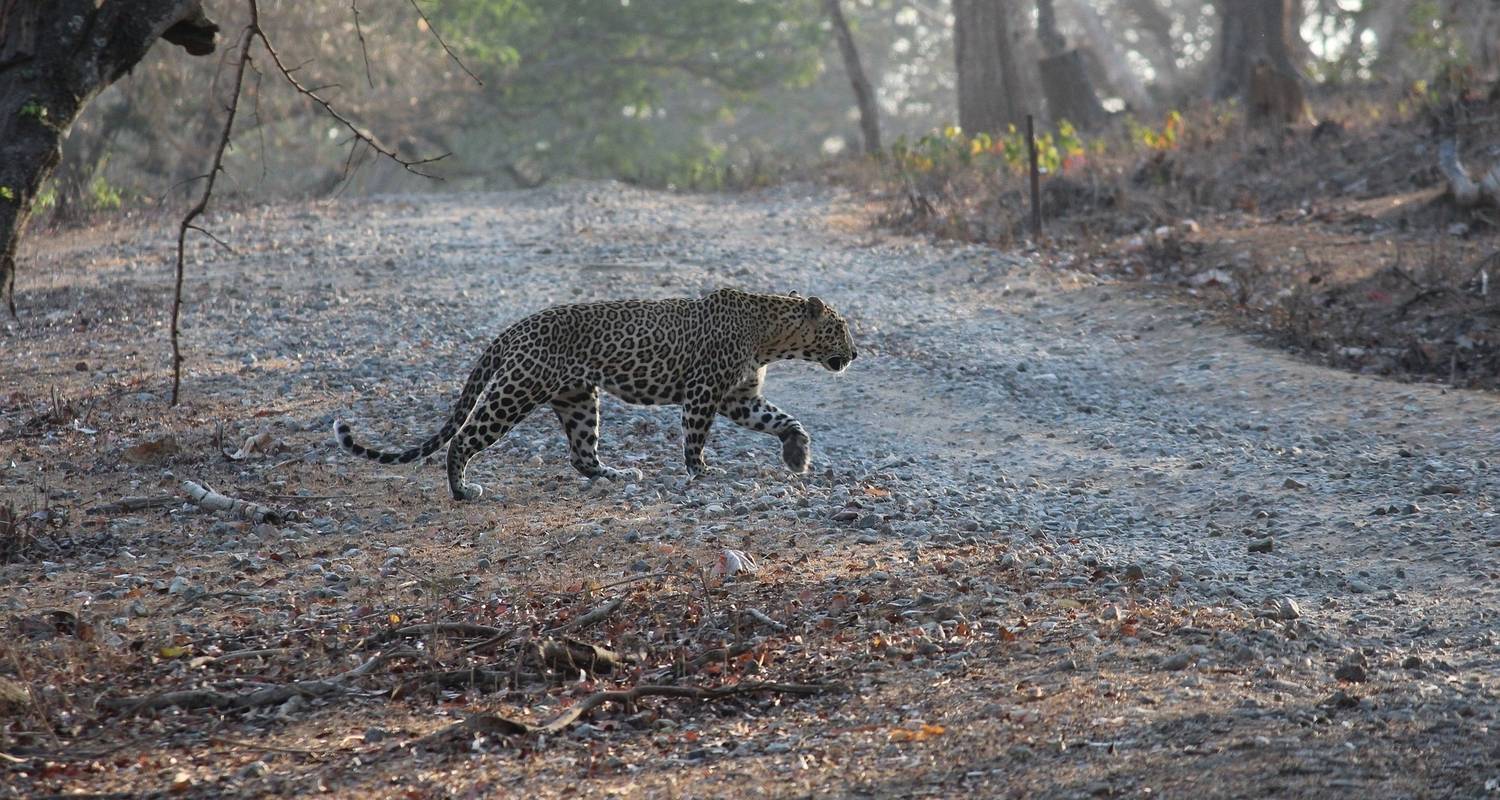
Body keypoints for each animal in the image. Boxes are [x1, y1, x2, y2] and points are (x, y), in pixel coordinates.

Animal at [336, 286, 864, 498]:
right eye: (840, 328)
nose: (857, 353)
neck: (772, 336)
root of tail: (515, 328)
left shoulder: (739, 397)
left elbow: (783, 419)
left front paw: (797, 455)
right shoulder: (704, 392)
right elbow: (695, 437)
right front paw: (700, 473)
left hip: (577, 399)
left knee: (580, 454)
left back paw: (615, 474)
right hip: (515, 391)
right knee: (464, 439)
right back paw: (463, 490)